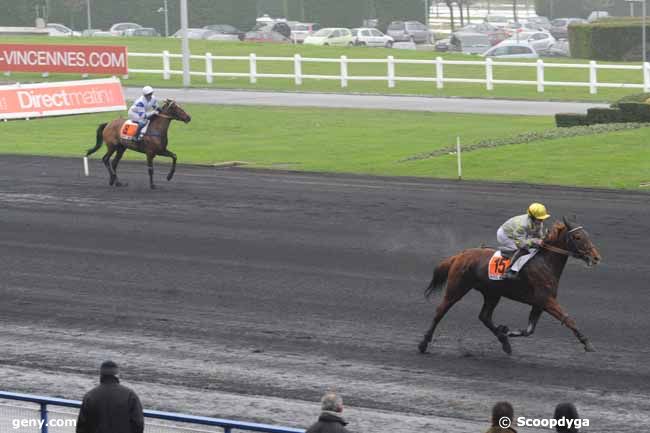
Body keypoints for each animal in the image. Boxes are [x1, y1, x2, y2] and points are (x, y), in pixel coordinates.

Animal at [418, 216, 600, 354]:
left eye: (586, 234)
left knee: (484, 316)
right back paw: (423, 343)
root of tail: (461, 254)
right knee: (441, 311)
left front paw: (506, 331)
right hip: (457, 288)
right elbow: (567, 319)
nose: (596, 257)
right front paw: (587, 343)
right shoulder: (547, 300)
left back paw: (504, 341)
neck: (545, 263)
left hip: (492, 293)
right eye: (577, 237)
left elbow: (529, 330)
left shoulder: (539, 303)